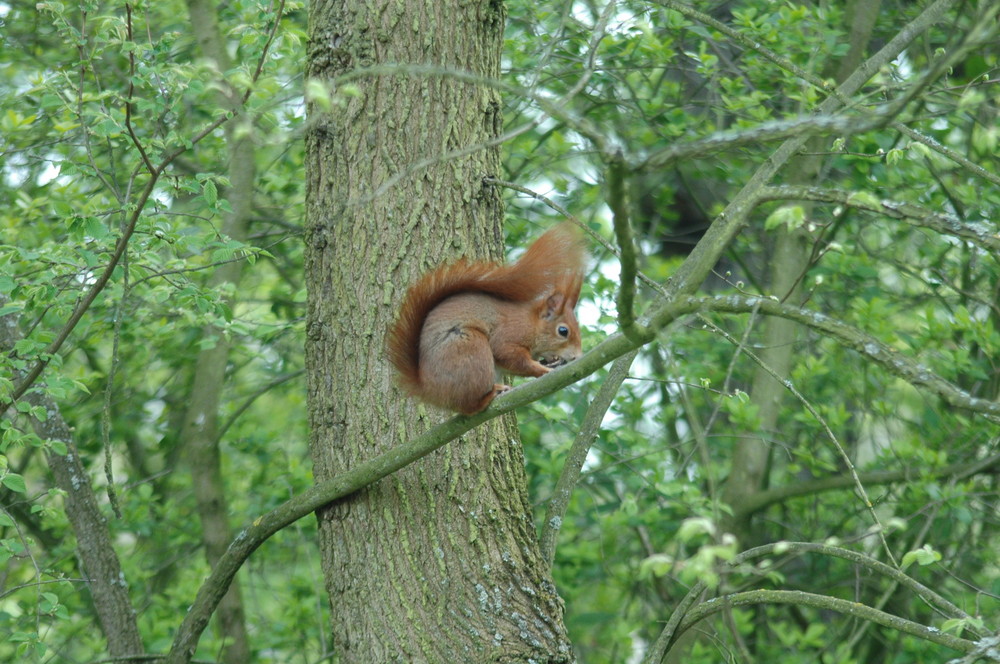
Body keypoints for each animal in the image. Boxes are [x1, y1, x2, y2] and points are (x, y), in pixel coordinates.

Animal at [384, 224, 584, 416]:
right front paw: (542, 369)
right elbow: (509, 355)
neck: (532, 323)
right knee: (469, 407)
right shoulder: (509, 334)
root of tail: (429, 390)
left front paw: (550, 361)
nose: (577, 357)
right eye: (563, 331)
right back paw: (492, 393)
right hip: (471, 347)